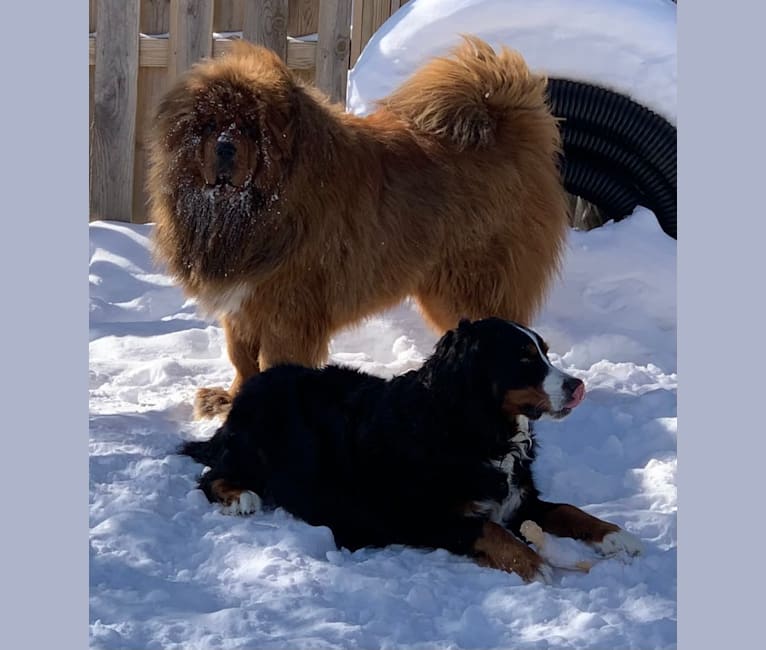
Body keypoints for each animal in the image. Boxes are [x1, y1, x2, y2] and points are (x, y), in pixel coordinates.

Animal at [148, 36, 568, 420]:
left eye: (252, 128)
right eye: (209, 124)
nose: (224, 147)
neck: (249, 213)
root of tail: (505, 125)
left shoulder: (287, 311)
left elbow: (272, 365)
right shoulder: (241, 306)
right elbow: (242, 358)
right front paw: (229, 400)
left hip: (468, 288)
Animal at [180, 316, 640, 580]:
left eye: (544, 351)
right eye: (525, 358)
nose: (577, 386)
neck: (473, 428)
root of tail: (253, 386)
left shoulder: (520, 499)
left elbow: (567, 509)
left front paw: (615, 535)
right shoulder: (420, 517)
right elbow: (489, 529)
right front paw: (534, 564)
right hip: (253, 450)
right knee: (211, 476)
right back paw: (242, 498)